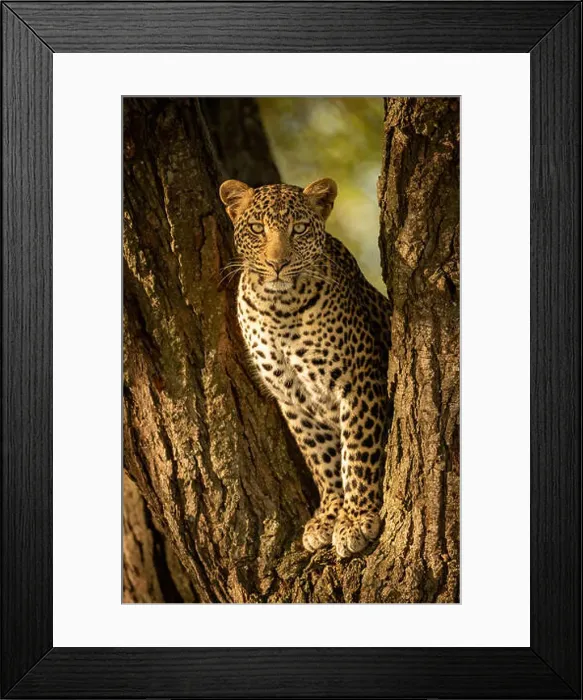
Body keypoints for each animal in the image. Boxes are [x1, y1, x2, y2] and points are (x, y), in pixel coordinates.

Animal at [219, 177, 391, 558]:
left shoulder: (358, 380)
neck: (279, 307)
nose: (278, 264)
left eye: (298, 229)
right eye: (257, 229)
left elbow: (356, 451)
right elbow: (322, 459)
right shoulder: (293, 398)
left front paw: (355, 518)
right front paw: (329, 516)